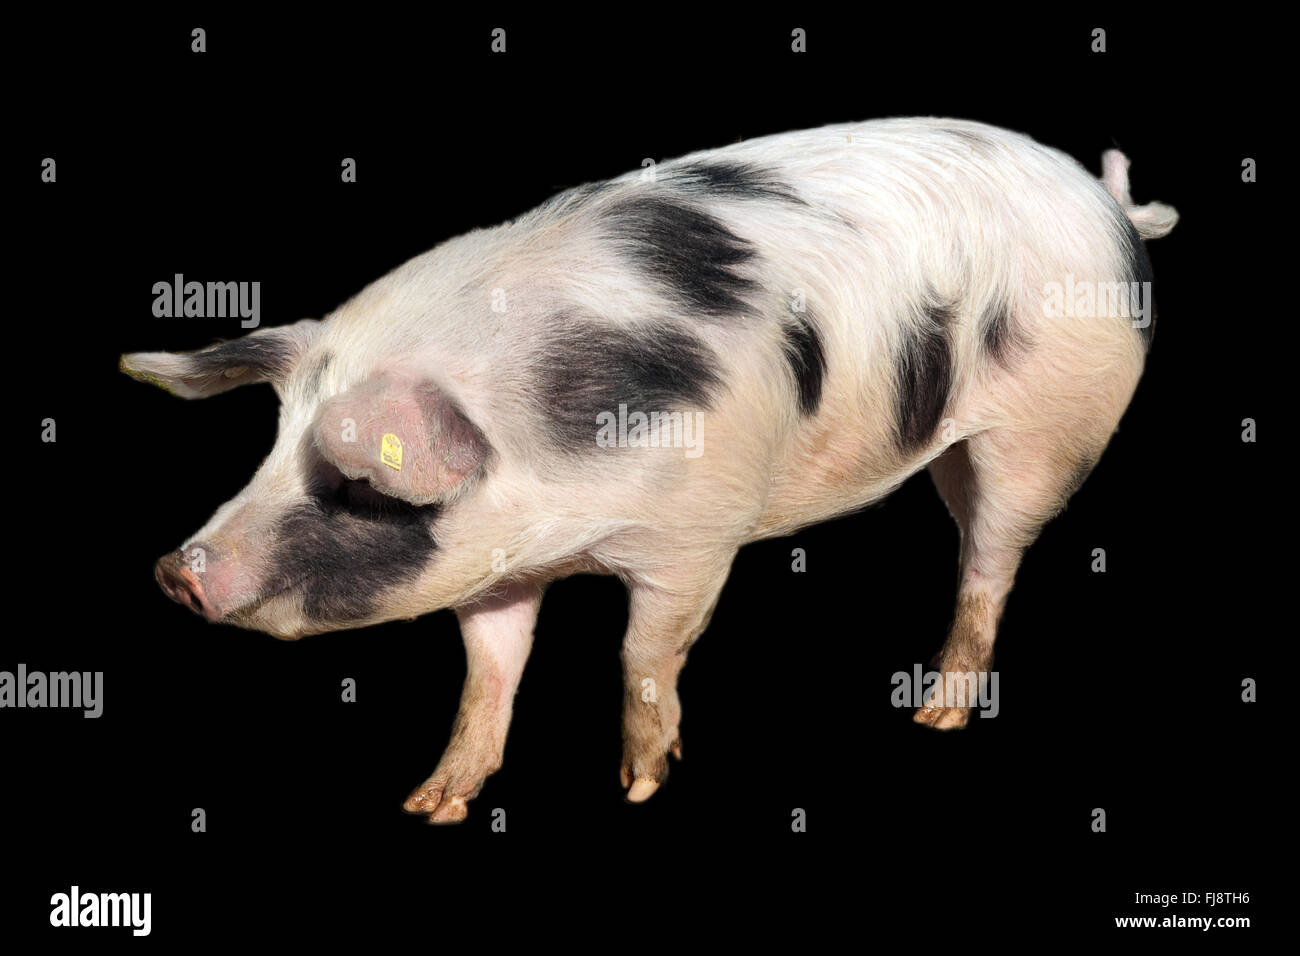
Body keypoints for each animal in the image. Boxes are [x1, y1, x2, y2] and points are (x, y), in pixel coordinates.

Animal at [122, 118, 1177, 822]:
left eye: (356, 485)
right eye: (270, 450)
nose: (177, 570)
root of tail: (1106, 202)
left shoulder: (696, 536)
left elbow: (643, 652)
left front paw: (639, 786)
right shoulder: (498, 564)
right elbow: (489, 668)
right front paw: (433, 803)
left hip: (1045, 427)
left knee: (993, 561)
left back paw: (936, 721)